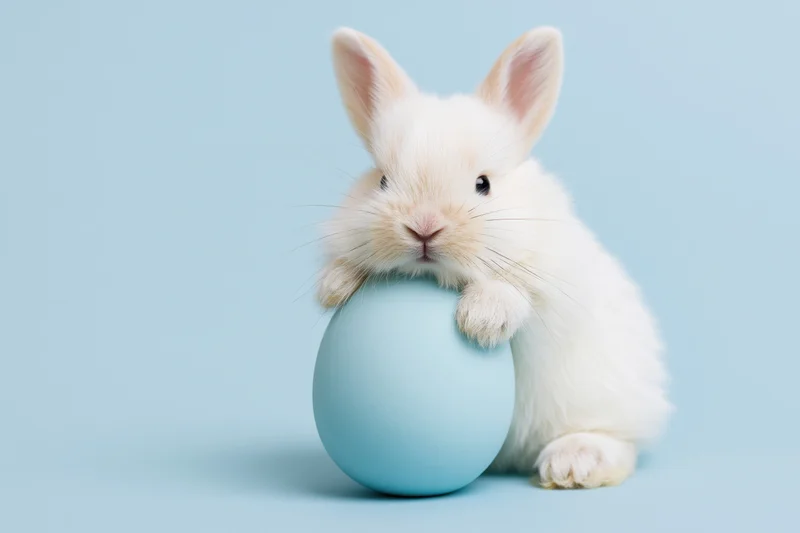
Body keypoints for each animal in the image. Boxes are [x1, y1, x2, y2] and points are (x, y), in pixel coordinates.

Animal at [315, 26, 673, 489]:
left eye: (482, 184)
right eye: (382, 181)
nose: (424, 227)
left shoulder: (549, 281)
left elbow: (514, 290)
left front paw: (481, 320)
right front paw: (334, 286)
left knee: (617, 440)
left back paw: (574, 463)